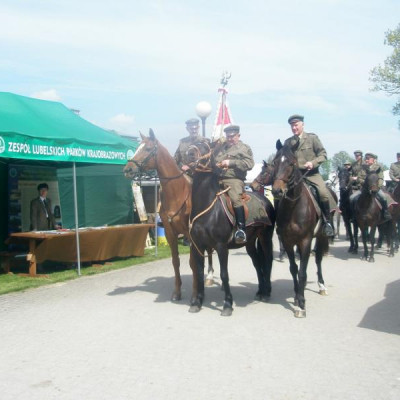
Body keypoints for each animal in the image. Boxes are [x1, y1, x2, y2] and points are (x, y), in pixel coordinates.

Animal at [122, 130, 206, 302]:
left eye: (147, 149)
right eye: (137, 147)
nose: (128, 169)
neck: (176, 194)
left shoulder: (190, 234)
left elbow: (193, 262)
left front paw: (195, 294)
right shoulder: (169, 233)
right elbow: (176, 261)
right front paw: (177, 292)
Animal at [187, 141, 276, 316]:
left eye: (203, 145)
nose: (189, 154)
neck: (206, 207)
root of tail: (265, 200)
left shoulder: (221, 247)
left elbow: (224, 274)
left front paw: (227, 304)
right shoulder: (197, 246)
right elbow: (199, 273)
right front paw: (197, 302)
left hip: (265, 237)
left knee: (268, 260)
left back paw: (268, 292)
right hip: (250, 243)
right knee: (257, 263)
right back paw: (260, 291)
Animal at [270, 139, 330, 318]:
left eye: (291, 163)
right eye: (274, 162)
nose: (277, 191)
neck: (294, 207)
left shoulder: (305, 241)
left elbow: (302, 272)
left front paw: (301, 305)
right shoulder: (288, 241)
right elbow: (294, 269)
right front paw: (297, 297)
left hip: (321, 236)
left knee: (318, 260)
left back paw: (322, 286)